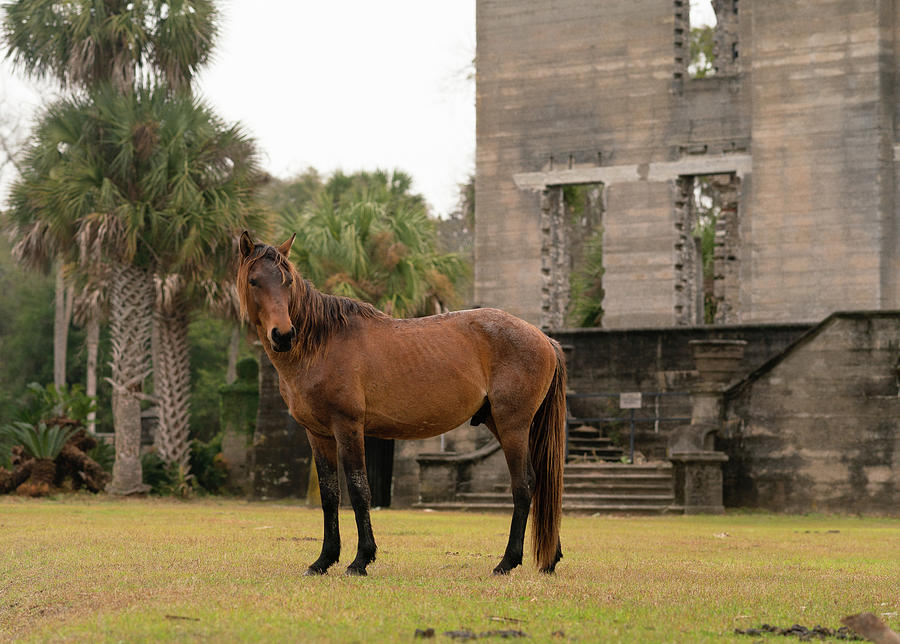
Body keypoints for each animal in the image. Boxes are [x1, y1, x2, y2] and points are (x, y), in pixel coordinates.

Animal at [236, 233, 568, 580]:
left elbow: (358, 489)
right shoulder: (318, 434)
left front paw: (360, 560)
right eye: (254, 280)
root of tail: (544, 338)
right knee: (540, 482)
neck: (321, 344)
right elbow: (330, 495)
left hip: (513, 426)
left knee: (524, 484)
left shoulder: (348, 427)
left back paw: (506, 562)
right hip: (503, 424)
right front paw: (323, 561)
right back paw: (549, 559)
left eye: (287, 282)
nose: (283, 335)